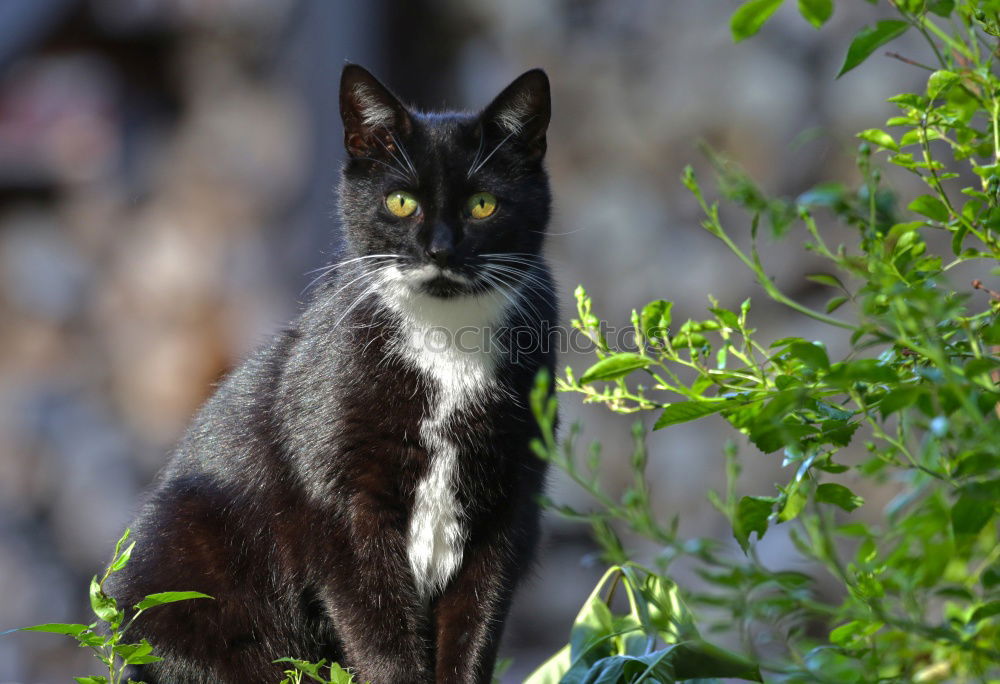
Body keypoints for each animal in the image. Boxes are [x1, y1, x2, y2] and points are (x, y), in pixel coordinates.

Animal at [113, 65, 560, 684]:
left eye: (483, 205)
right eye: (400, 201)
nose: (440, 250)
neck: (447, 345)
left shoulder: (510, 506)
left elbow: (475, 627)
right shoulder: (339, 506)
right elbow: (379, 630)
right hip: (180, 558)